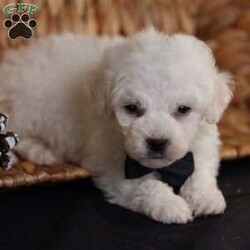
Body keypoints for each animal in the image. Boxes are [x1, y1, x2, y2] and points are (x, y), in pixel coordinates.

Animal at [0, 28, 234, 224]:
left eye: (183, 109)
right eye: (132, 108)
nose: (156, 142)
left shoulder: (203, 140)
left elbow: (200, 168)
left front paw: (206, 197)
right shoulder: (113, 162)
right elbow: (145, 184)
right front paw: (169, 205)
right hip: (24, 108)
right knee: (19, 136)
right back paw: (40, 153)